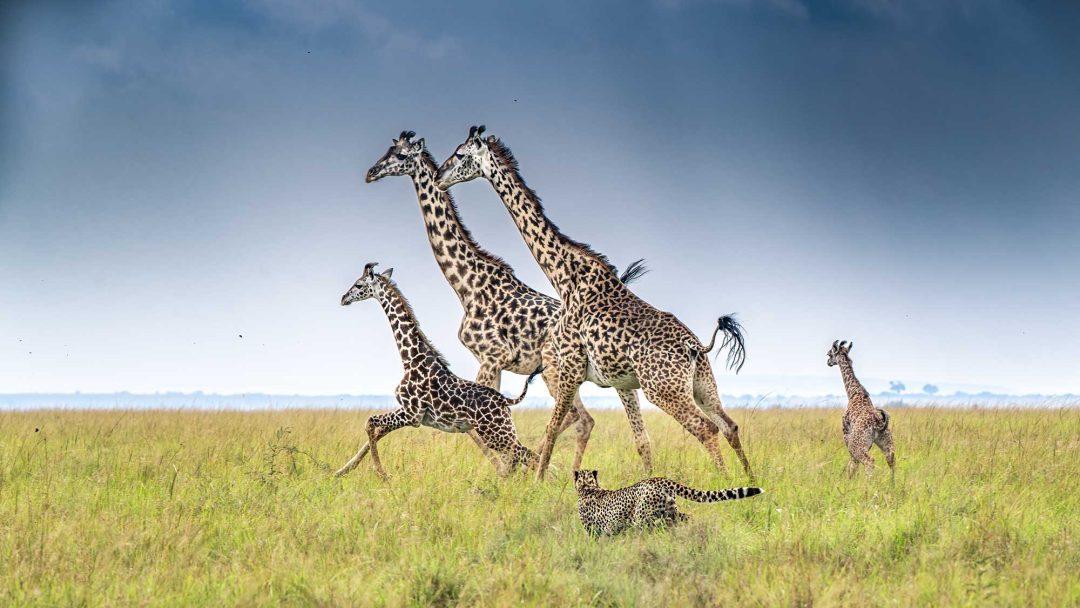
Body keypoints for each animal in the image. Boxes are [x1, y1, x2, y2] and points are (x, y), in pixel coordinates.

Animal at [334, 262, 539, 479]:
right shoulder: (410, 413)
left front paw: (382, 473)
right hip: (501, 433)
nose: (343, 298)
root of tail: (506, 401)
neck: (410, 359)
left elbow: (370, 422)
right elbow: (374, 427)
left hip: (496, 433)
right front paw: (345, 470)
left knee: (530, 456)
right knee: (525, 458)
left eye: (358, 284)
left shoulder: (412, 414)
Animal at [364, 131, 654, 472]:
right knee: (601, 424)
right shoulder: (494, 362)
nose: (371, 172)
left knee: (579, 419)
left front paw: (505, 471)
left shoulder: (491, 357)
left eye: (399, 155)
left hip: (557, 372)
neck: (467, 284)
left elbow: (475, 426)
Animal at [436, 126, 753, 481]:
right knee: (729, 425)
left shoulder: (569, 367)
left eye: (460, 155)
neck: (564, 277)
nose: (439, 176)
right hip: (702, 384)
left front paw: (537, 482)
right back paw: (751, 482)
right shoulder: (619, 381)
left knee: (705, 429)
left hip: (663, 389)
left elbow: (551, 430)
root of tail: (695, 347)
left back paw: (726, 482)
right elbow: (640, 440)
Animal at [826, 340, 895, 480]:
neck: (853, 392)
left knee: (869, 461)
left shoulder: (846, 432)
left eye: (829, 354)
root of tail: (878, 424)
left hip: (857, 445)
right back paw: (892, 484)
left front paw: (849, 480)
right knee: (891, 460)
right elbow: (854, 463)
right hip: (887, 442)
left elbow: (852, 463)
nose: (828, 362)